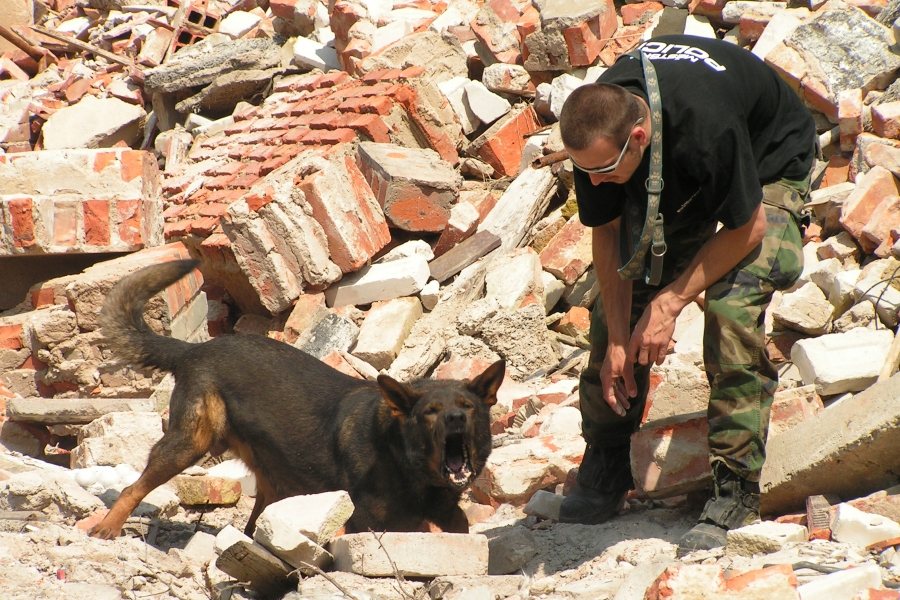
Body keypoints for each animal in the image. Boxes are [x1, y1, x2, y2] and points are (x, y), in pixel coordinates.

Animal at [89, 259, 504, 539]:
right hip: (189, 442)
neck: (405, 462)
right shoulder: (367, 523)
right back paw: (108, 526)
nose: (455, 420)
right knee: (132, 487)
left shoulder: (447, 520)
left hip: (276, 486)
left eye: (467, 408)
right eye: (431, 412)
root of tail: (193, 350)